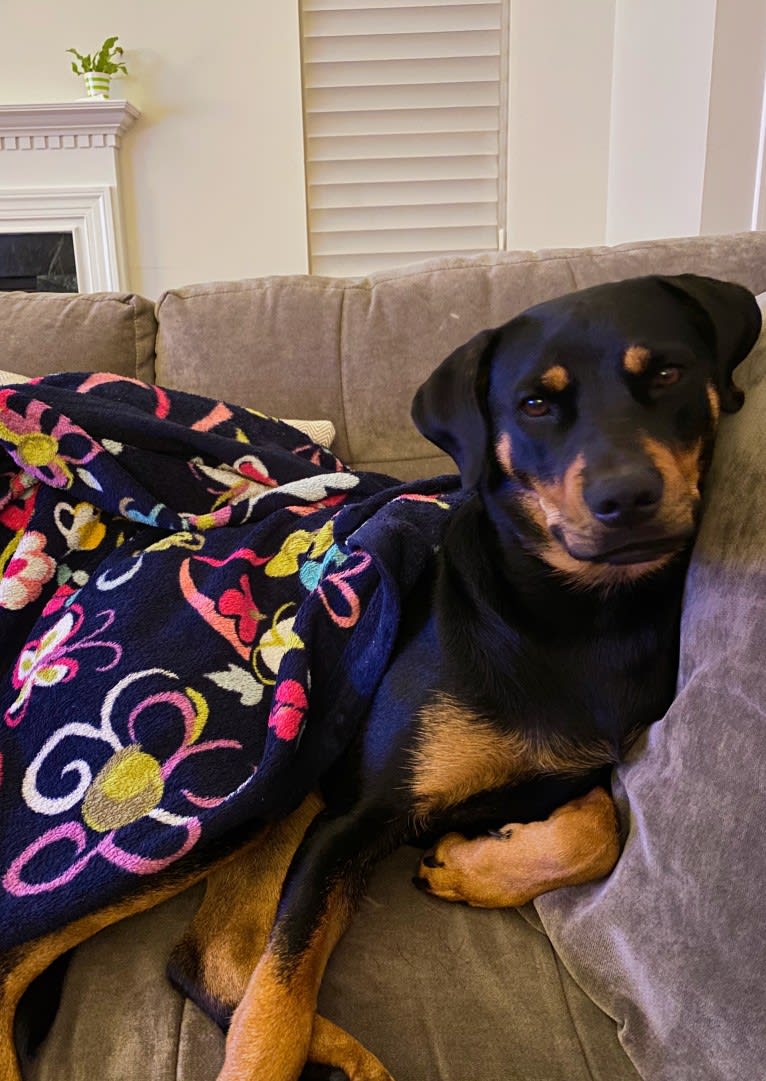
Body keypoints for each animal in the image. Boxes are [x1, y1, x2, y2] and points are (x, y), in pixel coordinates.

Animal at [1, 274, 760, 1081]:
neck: (571, 617)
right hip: (203, 806)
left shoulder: (559, 771)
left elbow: (602, 826)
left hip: (278, 796)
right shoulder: (356, 816)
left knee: (213, 959)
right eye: (534, 403)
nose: (627, 499)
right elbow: (275, 1008)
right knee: (26, 953)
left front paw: (468, 866)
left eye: (668, 373)